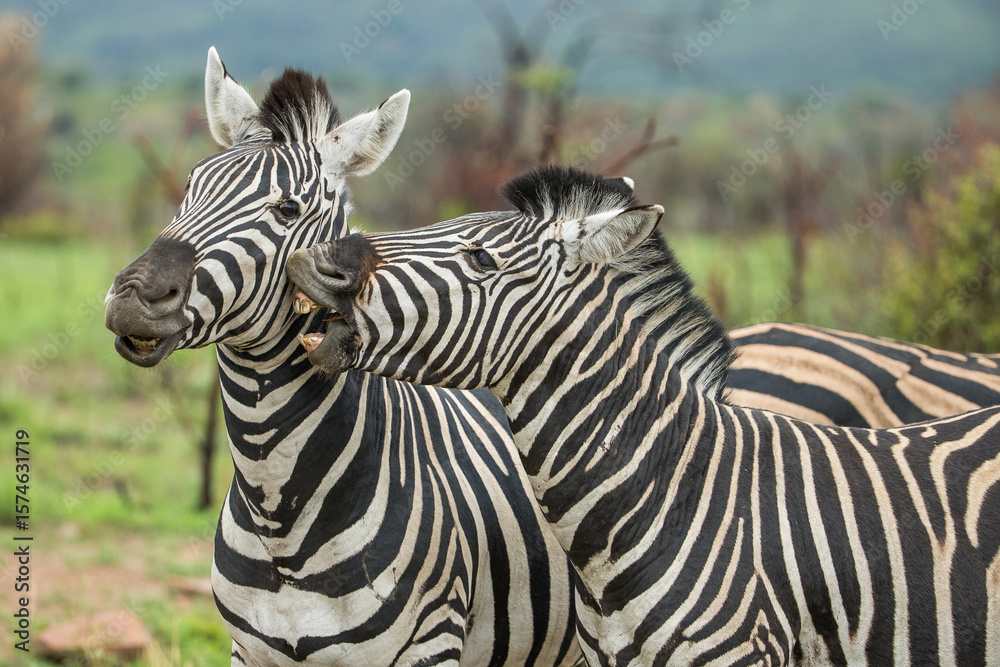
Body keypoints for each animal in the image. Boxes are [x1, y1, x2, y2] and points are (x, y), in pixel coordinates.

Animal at [104, 49, 582, 666]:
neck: (277, 512)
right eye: (190, 185)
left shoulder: (430, 646)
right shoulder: (248, 651)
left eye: (287, 209)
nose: (134, 296)